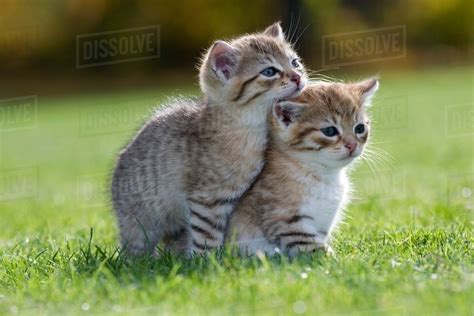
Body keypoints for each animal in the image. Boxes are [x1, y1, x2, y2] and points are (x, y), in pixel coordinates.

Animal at [111, 22, 308, 256]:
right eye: (269, 72)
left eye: (295, 62)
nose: (297, 77)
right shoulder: (206, 199)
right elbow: (207, 236)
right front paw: (208, 260)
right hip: (139, 222)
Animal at [226, 79, 378, 256]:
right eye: (329, 131)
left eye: (359, 128)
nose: (352, 145)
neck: (323, 175)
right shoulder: (286, 221)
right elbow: (316, 249)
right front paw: (336, 259)